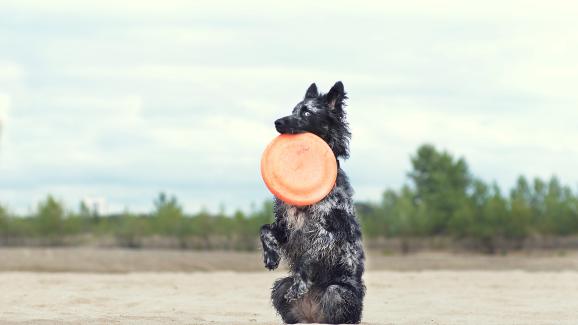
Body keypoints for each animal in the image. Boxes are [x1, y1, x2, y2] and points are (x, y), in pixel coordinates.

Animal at [260, 80, 364, 322]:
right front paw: (271, 255)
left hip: (337, 293)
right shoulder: (286, 227)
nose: (277, 122)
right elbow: (265, 229)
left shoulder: (328, 234)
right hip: (279, 287)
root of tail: (313, 317)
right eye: (293, 109)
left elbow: (307, 259)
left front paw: (299, 284)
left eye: (307, 112)